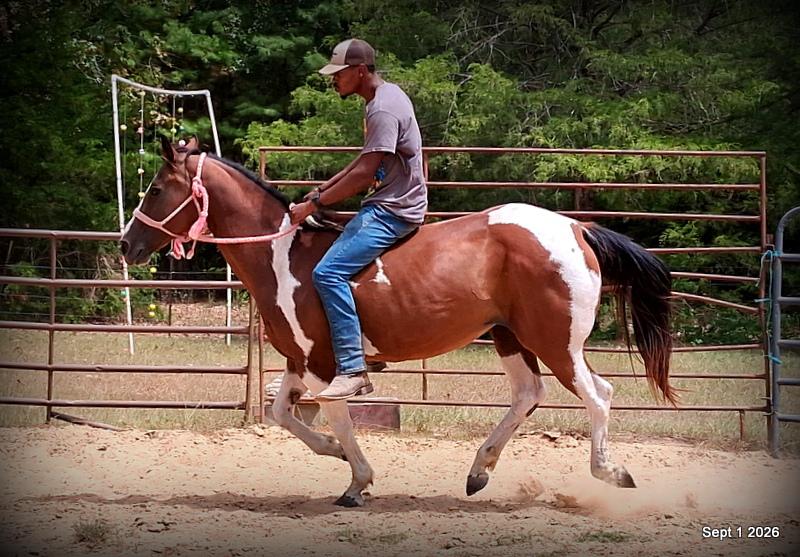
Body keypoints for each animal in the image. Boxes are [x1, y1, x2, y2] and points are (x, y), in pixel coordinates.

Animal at [121, 137, 675, 507]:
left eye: (156, 188)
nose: (126, 244)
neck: (283, 257)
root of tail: (575, 228)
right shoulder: (300, 360)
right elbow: (282, 414)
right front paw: (334, 455)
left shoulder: (324, 364)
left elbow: (335, 414)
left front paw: (356, 480)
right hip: (509, 336)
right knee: (528, 395)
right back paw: (478, 471)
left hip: (556, 342)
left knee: (598, 394)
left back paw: (610, 471)